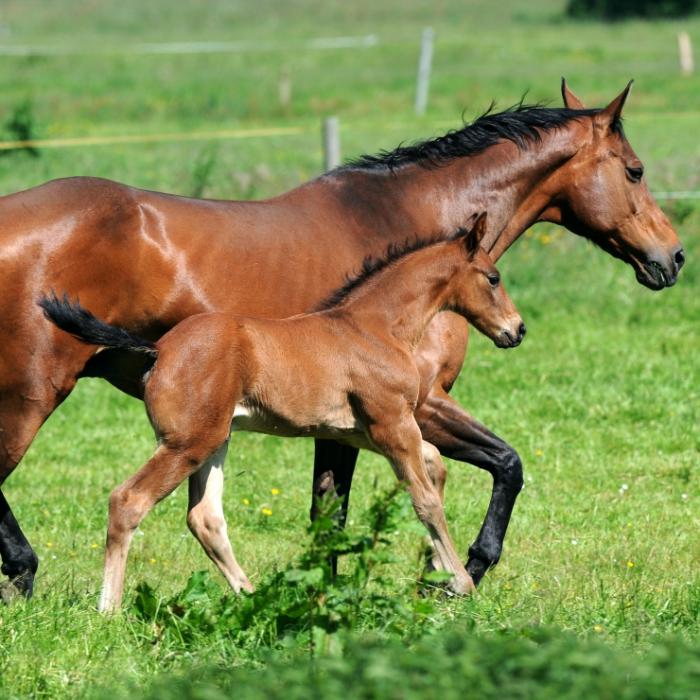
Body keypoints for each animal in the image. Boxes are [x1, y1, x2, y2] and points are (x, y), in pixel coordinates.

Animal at [39, 214, 526, 611]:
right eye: (494, 277)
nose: (517, 330)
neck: (375, 327)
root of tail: (159, 349)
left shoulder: (362, 431)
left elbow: (434, 467)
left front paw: (436, 574)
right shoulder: (392, 425)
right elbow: (424, 499)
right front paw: (461, 583)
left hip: (216, 440)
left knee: (205, 518)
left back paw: (255, 599)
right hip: (186, 444)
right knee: (129, 501)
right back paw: (109, 609)